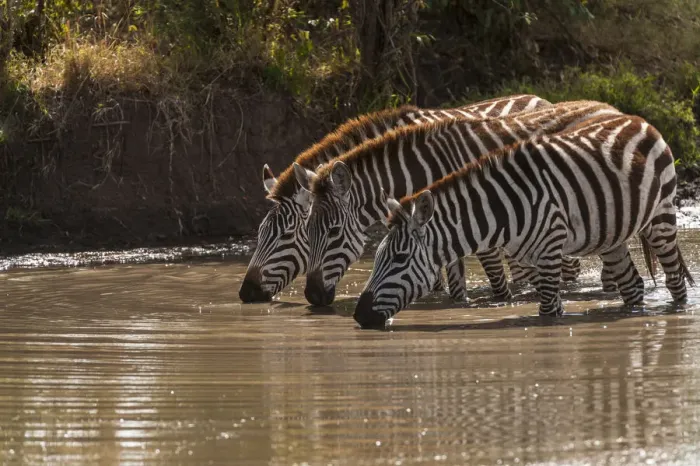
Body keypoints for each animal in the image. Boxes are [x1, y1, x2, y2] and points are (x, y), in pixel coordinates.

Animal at [299, 100, 622, 306]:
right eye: (307, 230)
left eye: (333, 232)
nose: (312, 296)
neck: (425, 170)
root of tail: (610, 107)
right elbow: (453, 285)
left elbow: (495, 282)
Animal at [354, 113, 694, 329]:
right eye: (377, 257)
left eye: (399, 259)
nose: (359, 316)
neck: (500, 212)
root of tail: (640, 120)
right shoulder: (532, 258)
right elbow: (548, 304)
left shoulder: (551, 249)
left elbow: (547, 313)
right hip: (611, 237)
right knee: (633, 285)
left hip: (662, 217)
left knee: (674, 281)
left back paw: (677, 312)